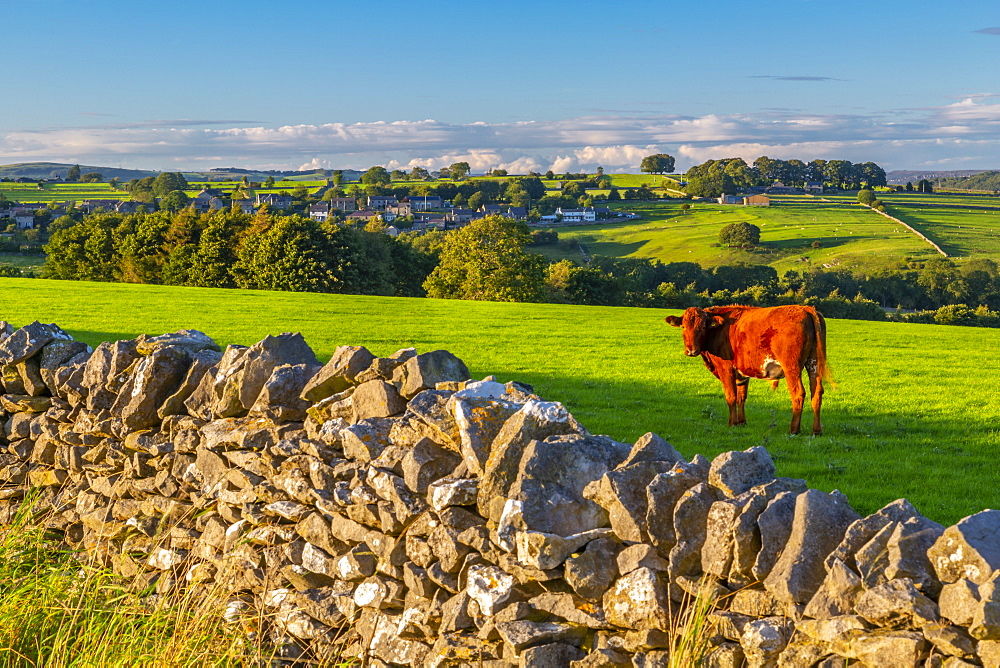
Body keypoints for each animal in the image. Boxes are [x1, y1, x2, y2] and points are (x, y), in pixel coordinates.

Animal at [664, 306, 828, 436]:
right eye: (683, 327)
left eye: (702, 327)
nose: (691, 350)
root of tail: (805, 308)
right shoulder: (742, 374)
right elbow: (741, 397)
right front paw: (741, 422)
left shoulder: (726, 369)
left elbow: (731, 396)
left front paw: (732, 423)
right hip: (814, 363)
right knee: (816, 393)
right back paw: (817, 430)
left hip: (791, 367)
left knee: (798, 393)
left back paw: (794, 429)